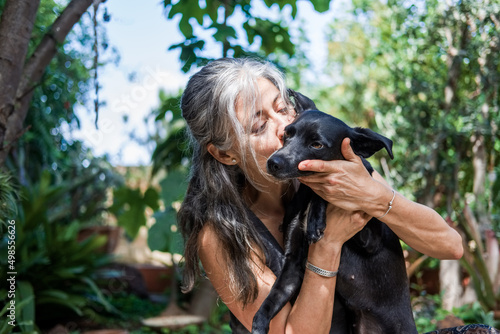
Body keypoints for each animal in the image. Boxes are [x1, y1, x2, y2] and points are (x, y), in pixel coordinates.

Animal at [252, 90, 416, 332]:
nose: (273, 162)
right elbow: (272, 297)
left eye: (317, 145)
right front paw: (259, 323)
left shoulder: (371, 237)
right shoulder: (292, 266)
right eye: (286, 134)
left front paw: (315, 220)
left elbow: (326, 189)